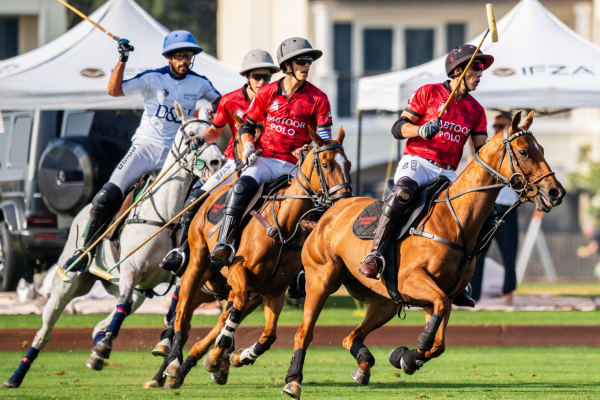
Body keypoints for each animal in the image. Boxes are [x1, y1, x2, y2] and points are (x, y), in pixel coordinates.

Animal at [2, 101, 225, 390]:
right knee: (45, 331)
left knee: (104, 319)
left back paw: (98, 341)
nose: (217, 161)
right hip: (68, 284)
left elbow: (173, 309)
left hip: (137, 289)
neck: (165, 216)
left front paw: (163, 343)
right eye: (192, 136)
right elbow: (125, 305)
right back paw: (16, 377)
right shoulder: (130, 270)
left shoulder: (176, 272)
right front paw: (104, 349)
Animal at [159, 126, 354, 388]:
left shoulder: (274, 289)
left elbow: (268, 335)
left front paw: (237, 357)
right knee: (183, 315)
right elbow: (234, 312)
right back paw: (173, 364)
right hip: (198, 263)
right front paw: (217, 357)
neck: (283, 224)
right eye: (325, 164)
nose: (345, 200)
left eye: (349, 164)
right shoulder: (238, 271)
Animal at [278, 111, 564, 398]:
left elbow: (439, 342)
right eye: (524, 151)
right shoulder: (412, 281)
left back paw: (363, 365)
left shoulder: (439, 294)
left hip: (384, 301)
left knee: (351, 336)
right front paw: (409, 353)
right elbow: (437, 324)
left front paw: (405, 357)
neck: (453, 219)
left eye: (541, 149)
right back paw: (292, 381)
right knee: (304, 332)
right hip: (321, 279)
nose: (556, 192)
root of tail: (327, 213)